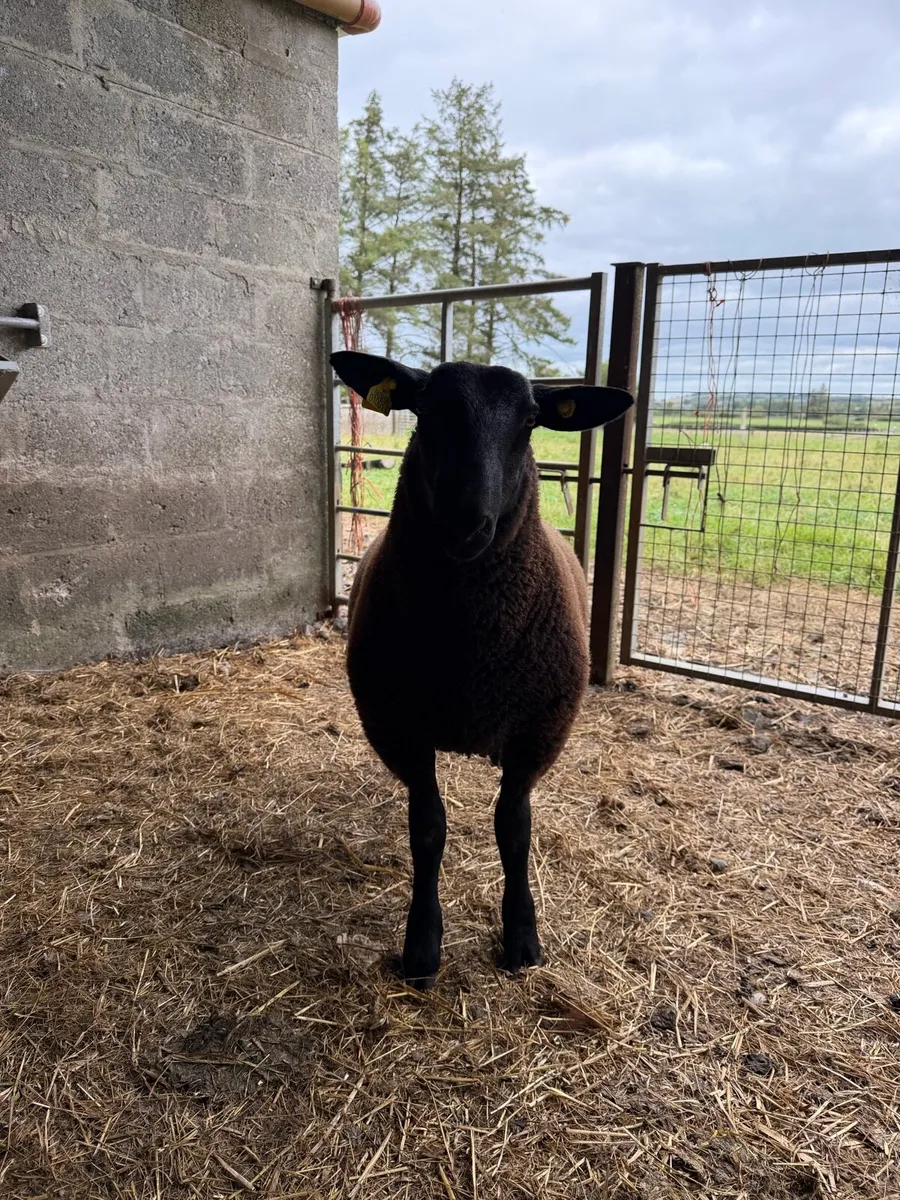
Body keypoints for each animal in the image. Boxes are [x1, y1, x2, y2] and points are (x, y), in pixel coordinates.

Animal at [330, 350, 634, 985]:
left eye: (531, 421)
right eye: (426, 408)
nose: (467, 523)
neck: (471, 648)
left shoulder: (538, 731)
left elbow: (513, 830)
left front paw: (521, 936)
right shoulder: (399, 727)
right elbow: (428, 828)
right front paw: (422, 944)